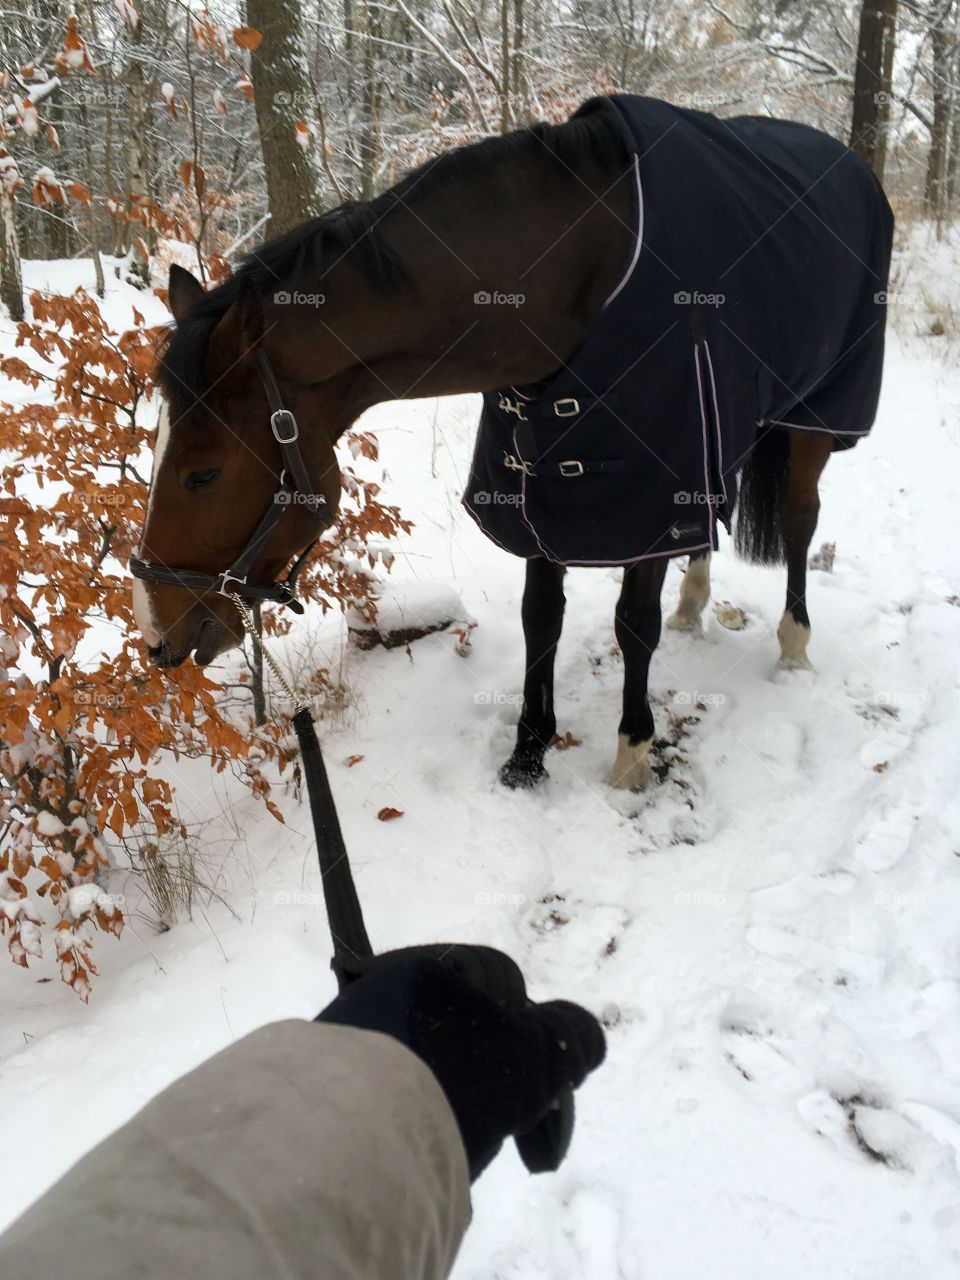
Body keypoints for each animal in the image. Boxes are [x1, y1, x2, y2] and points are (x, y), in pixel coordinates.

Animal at [131, 92, 901, 788]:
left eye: (203, 474)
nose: (156, 637)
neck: (578, 285)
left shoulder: (646, 488)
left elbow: (632, 623)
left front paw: (631, 755)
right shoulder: (536, 481)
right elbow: (541, 617)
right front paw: (529, 752)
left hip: (815, 417)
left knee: (800, 520)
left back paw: (794, 645)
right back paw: (694, 605)